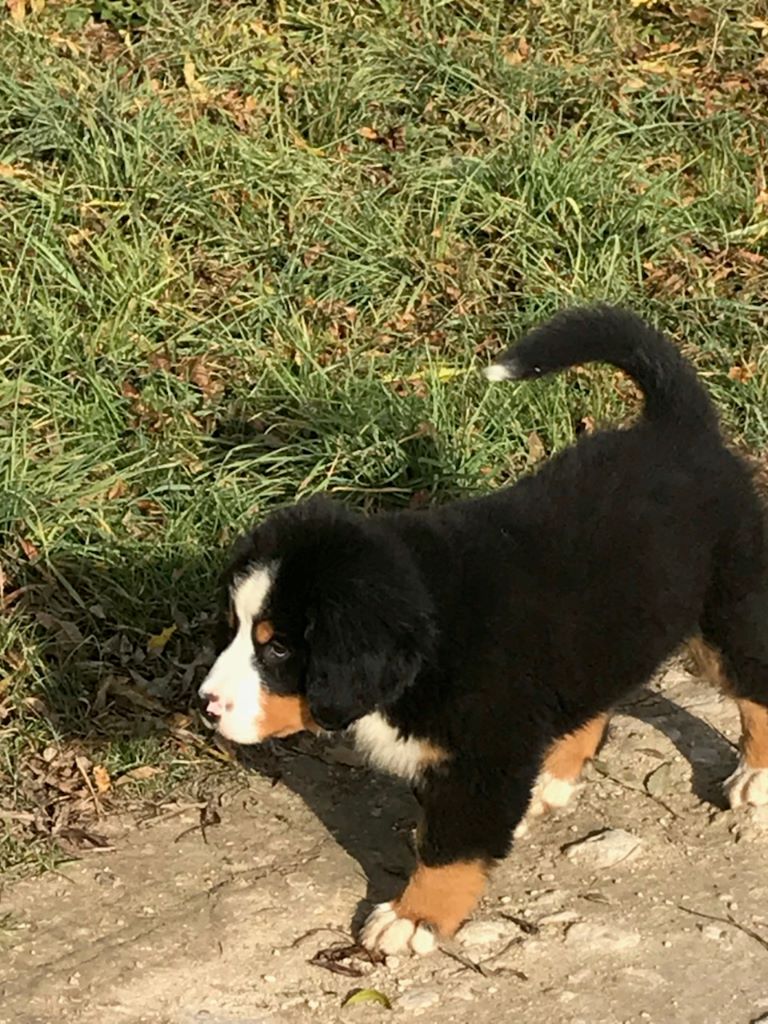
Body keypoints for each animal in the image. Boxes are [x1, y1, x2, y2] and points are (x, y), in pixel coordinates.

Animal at [199, 306, 768, 956]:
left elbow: (450, 849)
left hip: (727, 608)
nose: (207, 706)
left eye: (278, 647)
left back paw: (755, 777)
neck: (431, 634)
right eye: (234, 629)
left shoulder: (483, 756)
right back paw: (551, 780)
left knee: (755, 683)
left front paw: (412, 918)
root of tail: (678, 428)